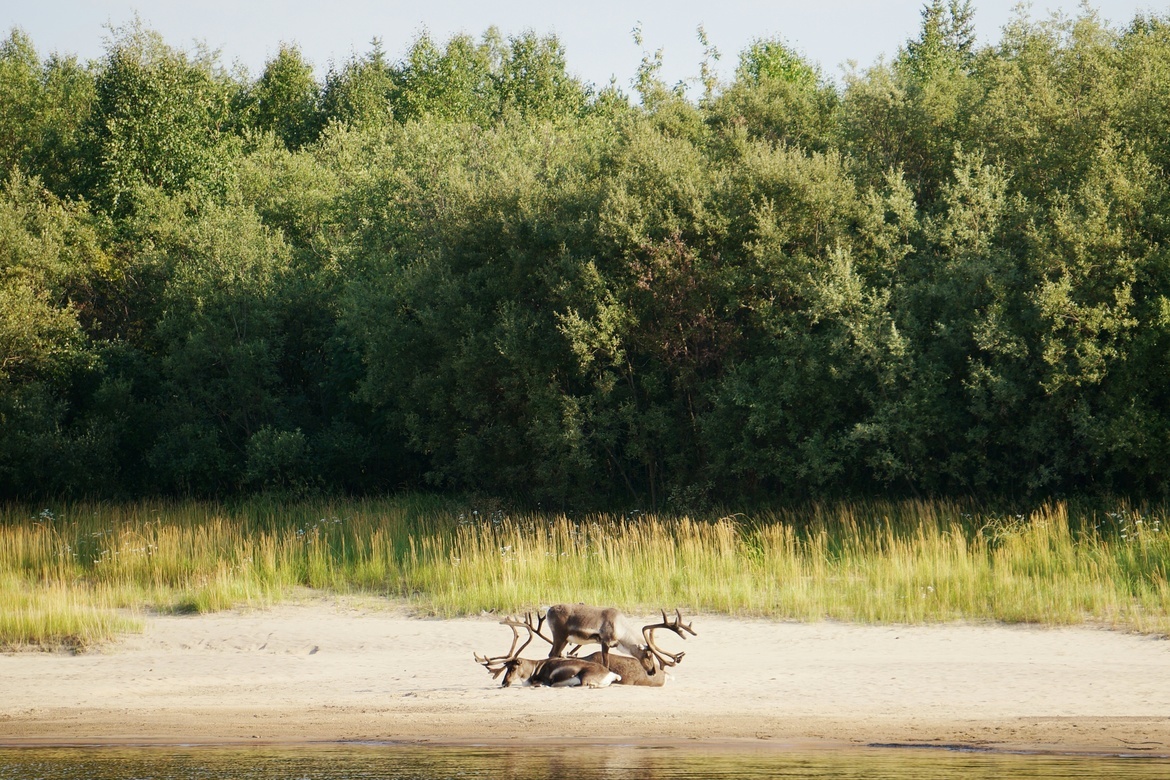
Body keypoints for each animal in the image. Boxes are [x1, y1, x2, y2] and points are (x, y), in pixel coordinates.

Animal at [475, 614, 621, 688]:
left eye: (513, 667)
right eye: (506, 667)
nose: (504, 683)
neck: (534, 667)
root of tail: (612, 674)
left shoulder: (544, 679)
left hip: (584, 676)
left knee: (585, 684)